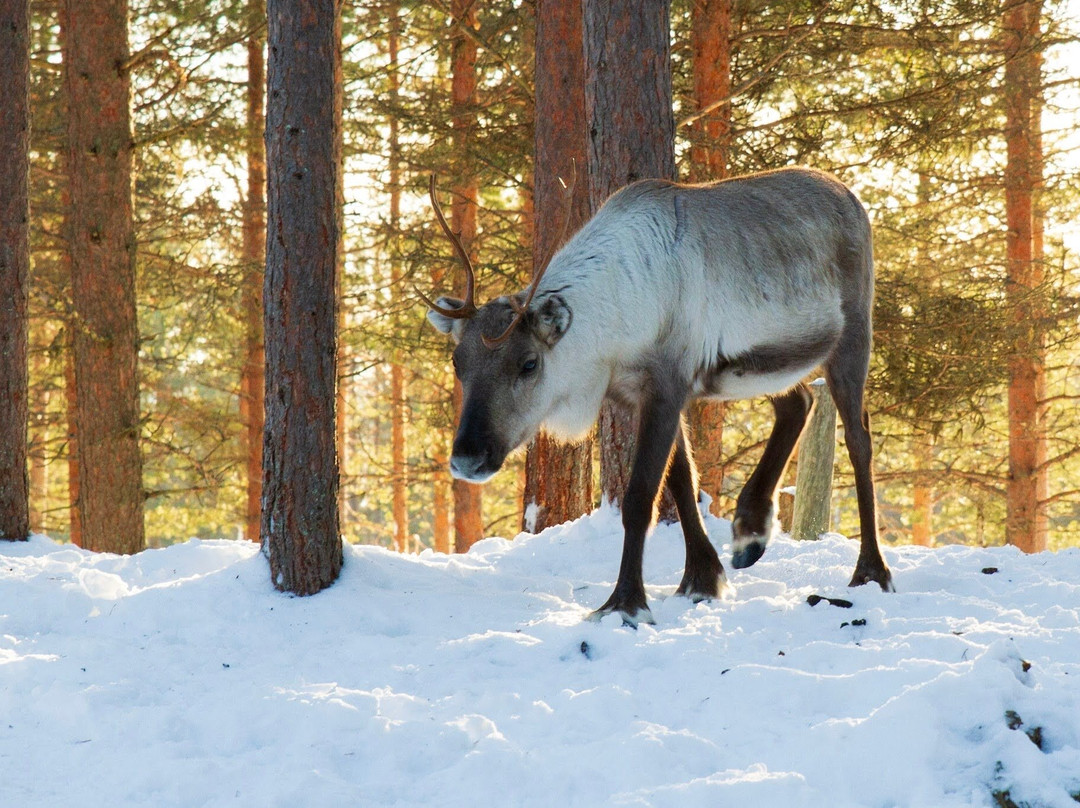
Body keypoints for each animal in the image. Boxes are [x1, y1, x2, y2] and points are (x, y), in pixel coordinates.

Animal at [421, 166, 894, 626]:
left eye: (528, 363)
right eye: (457, 362)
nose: (467, 458)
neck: (615, 316)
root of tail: (852, 197)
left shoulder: (667, 384)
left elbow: (640, 497)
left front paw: (625, 604)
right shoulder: (636, 394)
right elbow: (682, 481)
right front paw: (702, 579)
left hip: (852, 336)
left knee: (859, 441)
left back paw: (871, 571)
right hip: (761, 369)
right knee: (798, 404)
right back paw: (750, 531)